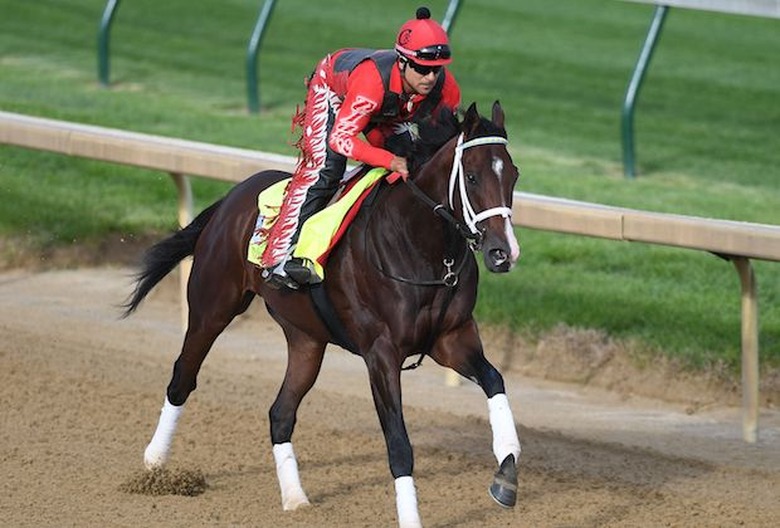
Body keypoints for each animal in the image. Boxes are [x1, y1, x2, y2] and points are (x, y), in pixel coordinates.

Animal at [124, 101, 522, 528]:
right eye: (473, 176)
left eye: (513, 175)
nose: (503, 253)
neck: (425, 250)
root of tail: (232, 197)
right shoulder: (381, 353)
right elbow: (399, 443)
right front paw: (412, 519)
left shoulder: (452, 338)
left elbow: (494, 380)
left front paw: (506, 474)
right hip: (211, 307)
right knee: (183, 377)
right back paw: (155, 465)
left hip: (306, 339)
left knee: (280, 413)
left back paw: (295, 498)